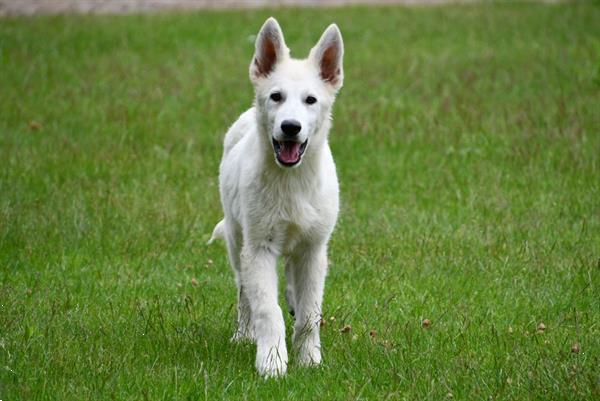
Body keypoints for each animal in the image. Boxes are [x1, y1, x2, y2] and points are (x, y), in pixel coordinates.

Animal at [210, 17, 342, 376]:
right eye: (276, 96)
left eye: (310, 100)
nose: (290, 127)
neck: (291, 182)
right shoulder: (259, 248)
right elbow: (268, 311)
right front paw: (271, 362)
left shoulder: (314, 249)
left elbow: (310, 314)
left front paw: (309, 360)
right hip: (237, 238)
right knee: (244, 291)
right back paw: (244, 335)